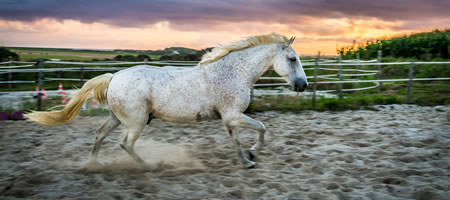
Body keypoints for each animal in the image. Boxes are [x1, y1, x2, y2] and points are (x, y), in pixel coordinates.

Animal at [25, 33, 310, 169]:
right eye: (293, 58)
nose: (303, 85)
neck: (232, 72)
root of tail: (114, 76)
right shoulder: (234, 116)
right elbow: (262, 128)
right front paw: (253, 153)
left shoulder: (230, 119)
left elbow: (237, 141)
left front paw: (247, 159)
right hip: (136, 122)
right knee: (125, 144)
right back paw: (149, 167)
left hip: (117, 118)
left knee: (99, 135)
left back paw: (93, 166)